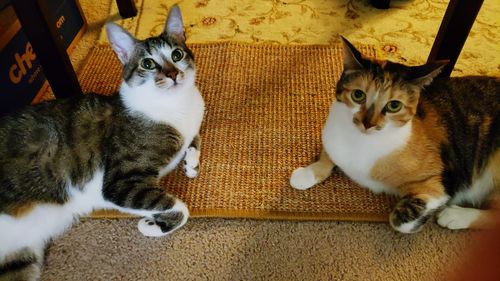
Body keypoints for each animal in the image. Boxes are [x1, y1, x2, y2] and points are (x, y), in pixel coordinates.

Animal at [0, 4, 205, 280]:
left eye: (177, 54)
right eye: (148, 63)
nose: (173, 74)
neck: (176, 106)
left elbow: (194, 139)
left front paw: (191, 164)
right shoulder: (119, 183)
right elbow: (181, 209)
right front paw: (151, 224)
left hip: (20, 259)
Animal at [292, 36, 498, 233]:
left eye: (394, 105)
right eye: (358, 95)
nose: (368, 123)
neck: (360, 141)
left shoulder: (436, 182)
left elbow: (401, 220)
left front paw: (421, 219)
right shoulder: (331, 137)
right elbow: (328, 155)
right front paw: (307, 174)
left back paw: (456, 216)